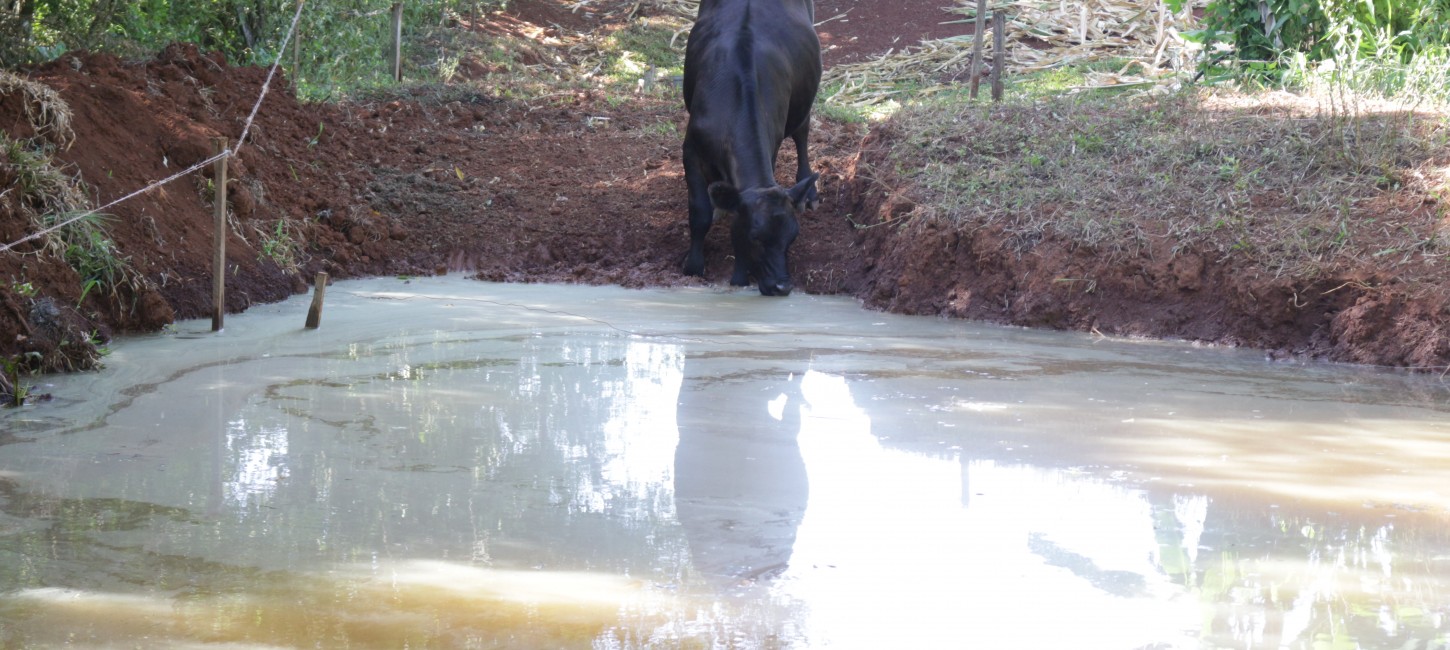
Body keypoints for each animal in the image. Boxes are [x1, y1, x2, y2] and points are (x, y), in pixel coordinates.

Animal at [675, 0, 817, 297]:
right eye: (756, 237)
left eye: (792, 237)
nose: (782, 286)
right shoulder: (690, 151)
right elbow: (699, 212)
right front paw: (693, 265)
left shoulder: (772, 146)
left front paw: (739, 275)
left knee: (802, 134)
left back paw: (809, 191)